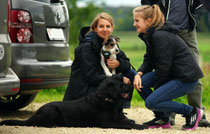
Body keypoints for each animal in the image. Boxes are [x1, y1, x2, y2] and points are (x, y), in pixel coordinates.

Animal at [0, 74, 145, 130]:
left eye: (123, 82)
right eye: (121, 85)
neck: (107, 99)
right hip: (53, 110)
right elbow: (127, 125)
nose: (130, 85)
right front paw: (140, 127)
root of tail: (35, 114)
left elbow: (128, 122)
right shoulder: (107, 123)